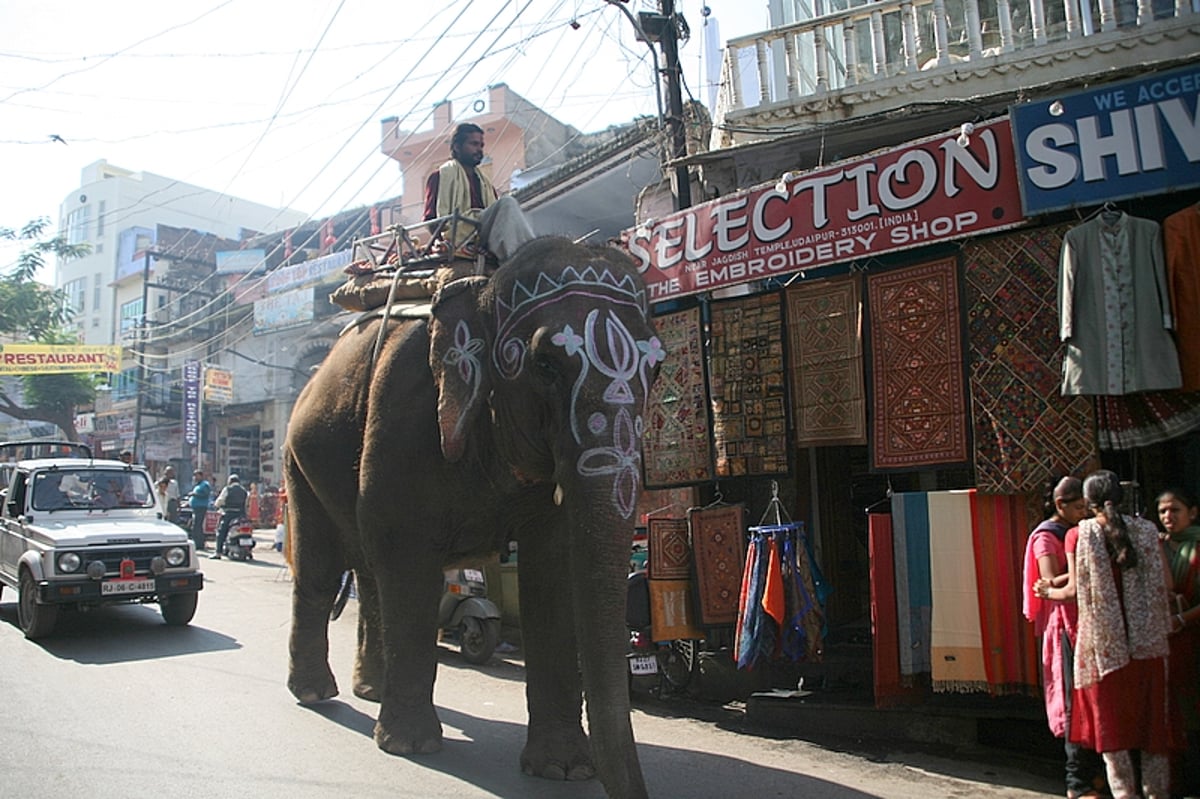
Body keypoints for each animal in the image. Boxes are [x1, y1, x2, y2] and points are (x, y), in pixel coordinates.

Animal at [284, 236, 667, 796]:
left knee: (370, 574)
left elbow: (552, 568)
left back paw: (371, 692)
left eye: (657, 368)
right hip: (299, 460)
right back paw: (316, 695)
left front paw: (564, 770)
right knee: (322, 569)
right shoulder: (404, 414)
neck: (484, 288)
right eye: (545, 365)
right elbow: (407, 556)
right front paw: (412, 747)